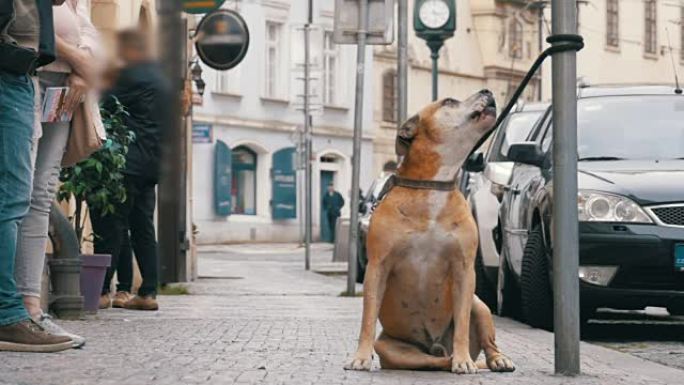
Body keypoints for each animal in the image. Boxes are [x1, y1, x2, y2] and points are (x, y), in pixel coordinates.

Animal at [348, 89, 512, 372]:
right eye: (449, 102)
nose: (487, 91)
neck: (433, 185)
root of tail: (433, 345)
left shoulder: (464, 270)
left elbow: (461, 321)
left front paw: (463, 359)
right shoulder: (377, 267)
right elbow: (367, 318)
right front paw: (361, 356)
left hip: (480, 305)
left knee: (485, 339)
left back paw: (492, 359)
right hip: (393, 349)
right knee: (432, 361)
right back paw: (447, 358)